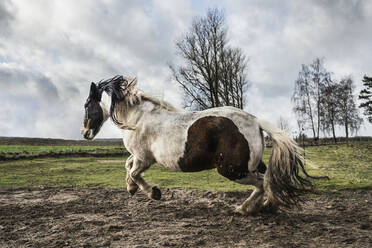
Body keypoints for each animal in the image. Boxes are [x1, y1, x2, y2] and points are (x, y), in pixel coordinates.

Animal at [80, 74, 322, 214]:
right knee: (266, 180)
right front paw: (131, 188)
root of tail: (255, 121)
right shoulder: (140, 157)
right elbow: (127, 166)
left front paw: (153, 193)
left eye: (86, 105)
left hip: (232, 170)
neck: (137, 118)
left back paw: (244, 209)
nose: (85, 133)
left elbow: (133, 171)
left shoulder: (144, 158)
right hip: (250, 166)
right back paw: (264, 207)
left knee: (263, 184)